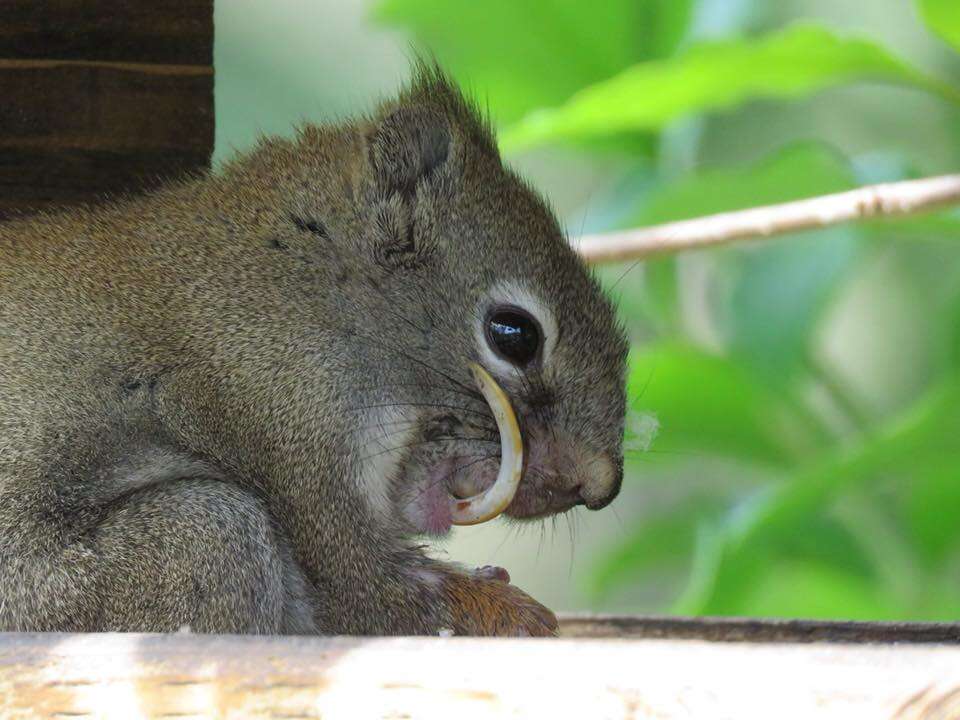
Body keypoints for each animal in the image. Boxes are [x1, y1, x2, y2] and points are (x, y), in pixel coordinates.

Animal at [0, 64, 632, 632]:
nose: (600, 484)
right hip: (197, 542)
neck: (316, 292)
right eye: (514, 335)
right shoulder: (280, 408)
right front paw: (515, 614)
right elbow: (367, 587)